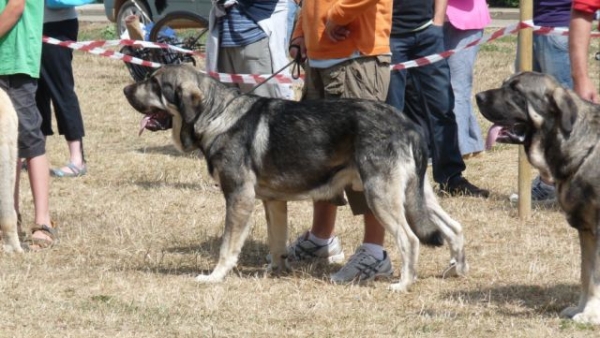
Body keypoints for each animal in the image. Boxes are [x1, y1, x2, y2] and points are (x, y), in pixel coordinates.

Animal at [123, 64, 468, 292]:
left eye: (154, 83)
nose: (126, 89)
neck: (218, 115)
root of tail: (408, 125)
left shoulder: (238, 198)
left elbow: (227, 246)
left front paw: (215, 277)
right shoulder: (272, 203)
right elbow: (277, 243)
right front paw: (275, 271)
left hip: (381, 196)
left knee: (410, 239)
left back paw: (403, 284)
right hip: (416, 195)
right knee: (453, 227)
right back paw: (457, 269)